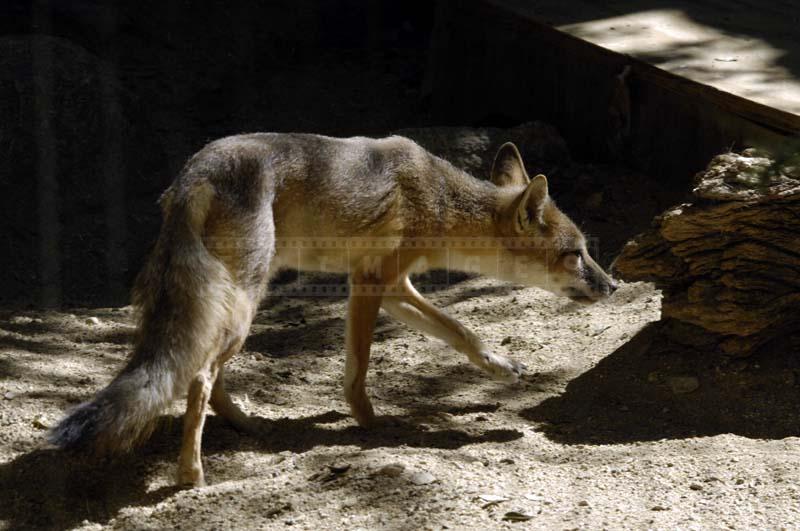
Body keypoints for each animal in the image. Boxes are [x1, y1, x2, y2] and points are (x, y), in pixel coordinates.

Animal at [47, 132, 616, 486]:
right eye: (577, 254)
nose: (612, 285)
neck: (439, 199)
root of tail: (195, 172)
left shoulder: (395, 286)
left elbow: (461, 332)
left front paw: (500, 367)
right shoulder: (369, 283)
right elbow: (358, 368)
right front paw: (368, 422)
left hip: (240, 306)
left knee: (207, 378)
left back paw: (252, 427)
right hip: (242, 306)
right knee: (200, 377)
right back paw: (191, 474)